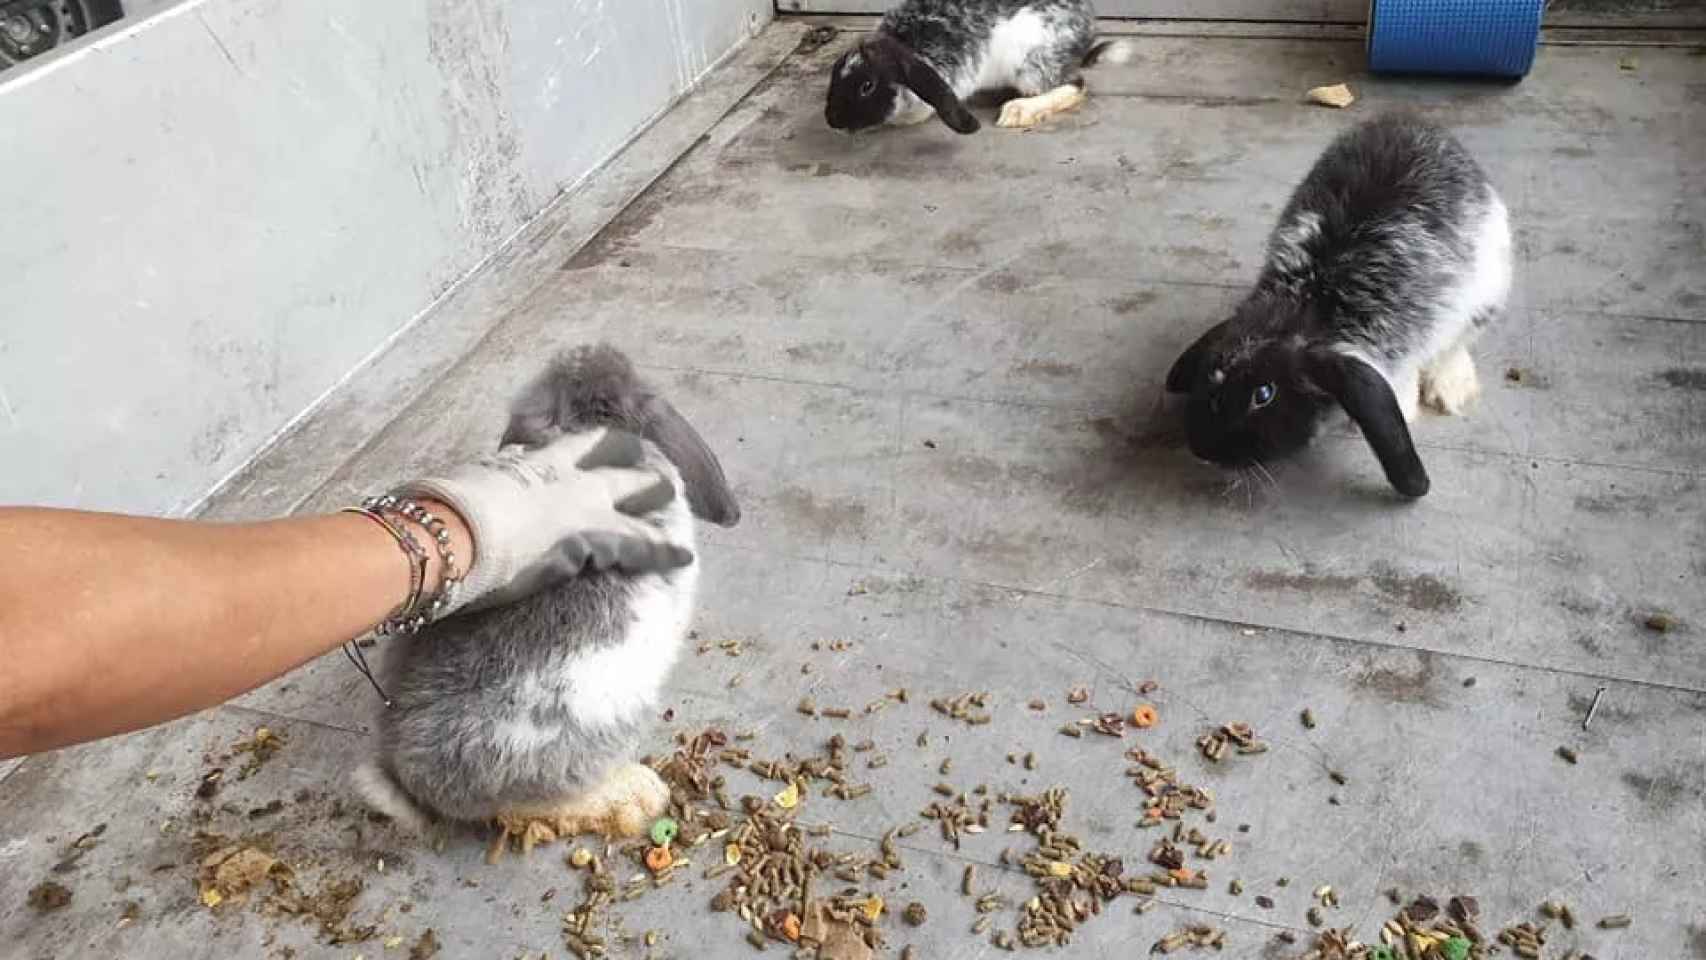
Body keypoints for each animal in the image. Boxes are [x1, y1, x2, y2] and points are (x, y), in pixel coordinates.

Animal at [818, 0, 1125, 135]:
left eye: (867, 86)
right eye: (834, 76)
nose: (833, 120)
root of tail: (1087, 29)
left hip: (1031, 65)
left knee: (1075, 84)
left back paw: (1017, 112)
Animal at [1166, 112, 1514, 501]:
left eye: (1264, 395)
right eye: (1210, 371)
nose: (1202, 450)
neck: (1310, 304)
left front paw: (1405, 408)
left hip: (1488, 289)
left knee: (1457, 344)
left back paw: (1450, 389)